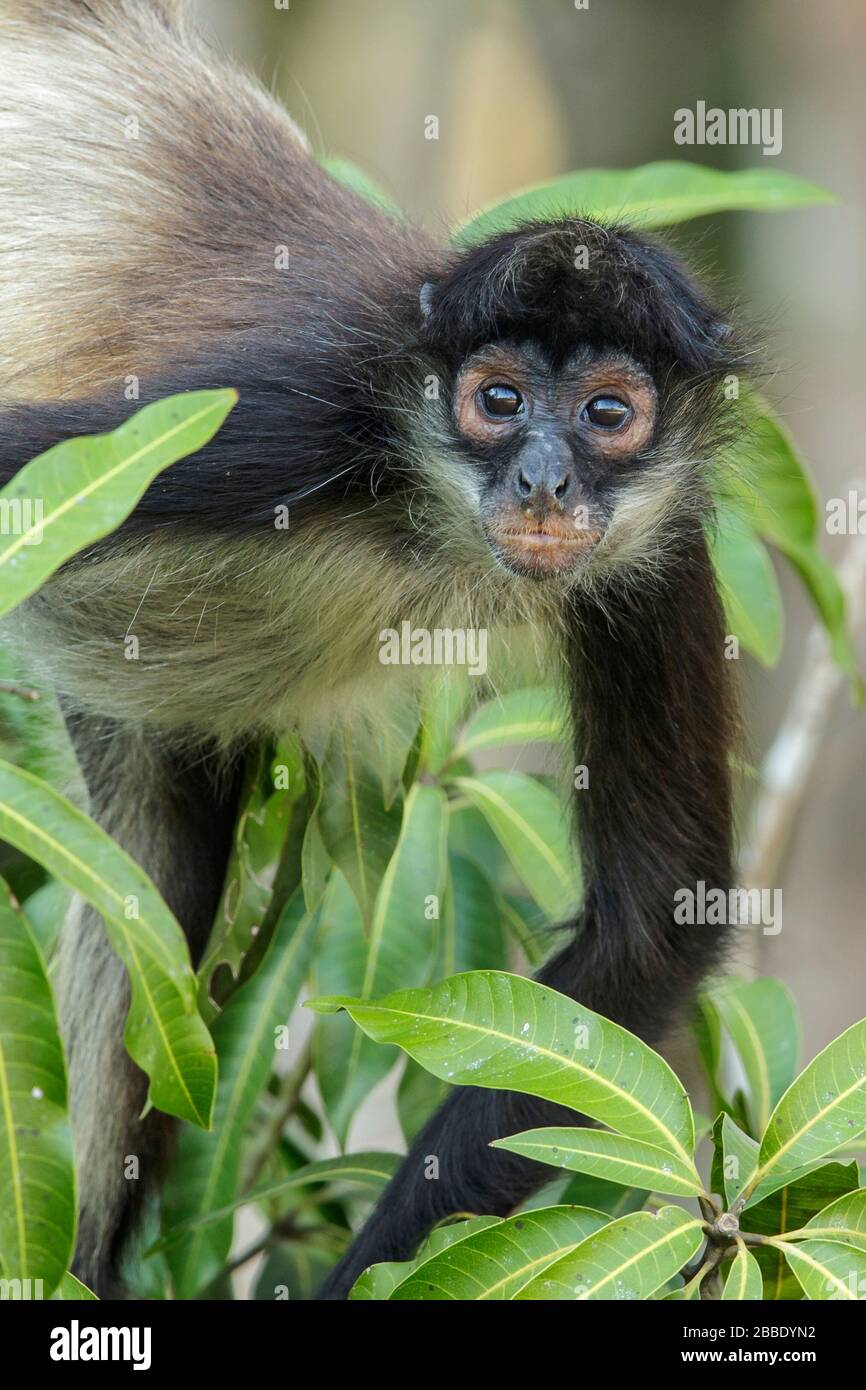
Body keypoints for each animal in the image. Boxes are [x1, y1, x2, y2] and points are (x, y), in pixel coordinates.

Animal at [0, 2, 745, 1301]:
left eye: (606, 414)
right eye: (498, 401)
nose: (542, 480)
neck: (428, 519)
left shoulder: (659, 548)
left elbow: (653, 922)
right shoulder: (285, 413)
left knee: (163, 889)